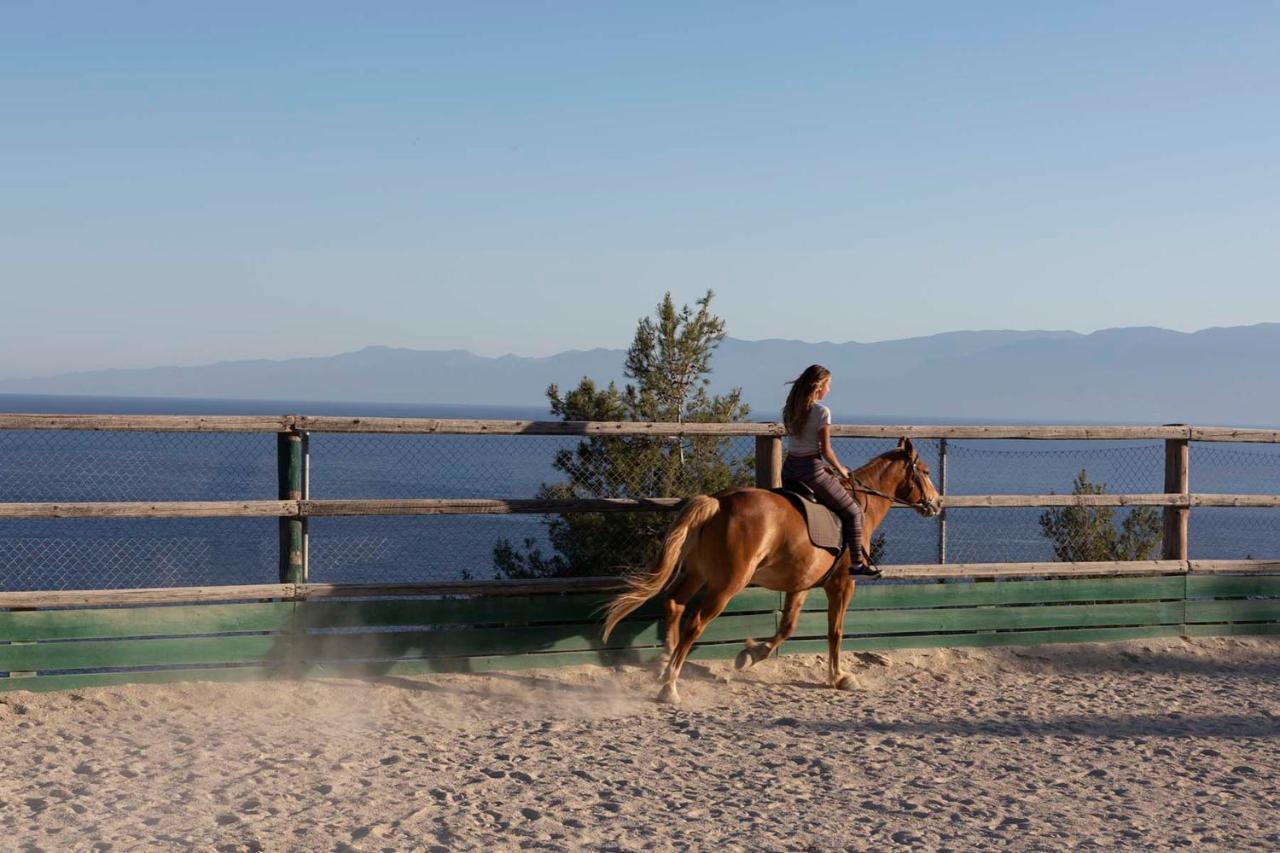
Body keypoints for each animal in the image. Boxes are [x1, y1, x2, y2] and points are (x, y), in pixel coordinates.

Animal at [599, 435, 942, 701]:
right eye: (925, 471)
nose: (937, 503)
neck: (860, 505)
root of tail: (718, 503)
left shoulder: (801, 584)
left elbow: (787, 626)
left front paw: (750, 656)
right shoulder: (843, 584)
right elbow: (835, 630)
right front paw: (840, 677)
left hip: (698, 574)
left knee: (674, 603)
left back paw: (665, 663)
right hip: (727, 583)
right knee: (694, 623)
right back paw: (670, 685)